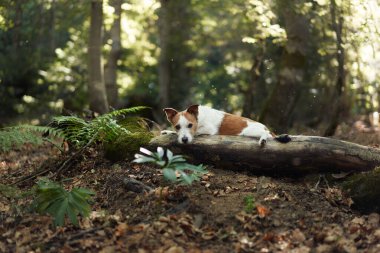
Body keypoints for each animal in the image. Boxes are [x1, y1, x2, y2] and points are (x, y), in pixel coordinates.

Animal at [161, 104, 290, 144]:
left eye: (190, 125)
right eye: (177, 127)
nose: (184, 140)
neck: (198, 118)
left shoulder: (208, 129)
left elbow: (196, 132)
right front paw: (167, 131)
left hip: (251, 131)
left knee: (266, 134)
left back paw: (263, 139)